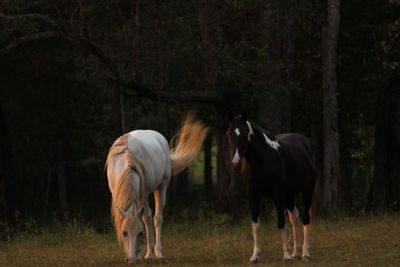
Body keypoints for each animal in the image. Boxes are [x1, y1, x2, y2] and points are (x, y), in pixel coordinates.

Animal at [104, 116, 211, 264]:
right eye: (124, 232)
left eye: (140, 233)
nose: (132, 260)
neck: (126, 162)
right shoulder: (115, 193)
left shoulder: (143, 194)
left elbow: (146, 217)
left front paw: (148, 253)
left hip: (161, 187)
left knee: (157, 218)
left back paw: (158, 252)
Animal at [227, 113, 318, 264]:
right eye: (228, 134)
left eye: (245, 134)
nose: (235, 163)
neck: (263, 158)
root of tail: (306, 142)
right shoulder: (253, 196)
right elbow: (255, 225)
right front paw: (255, 256)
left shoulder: (277, 196)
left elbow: (281, 223)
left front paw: (286, 256)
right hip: (289, 195)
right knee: (295, 217)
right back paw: (296, 253)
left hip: (307, 191)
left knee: (306, 218)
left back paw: (305, 253)